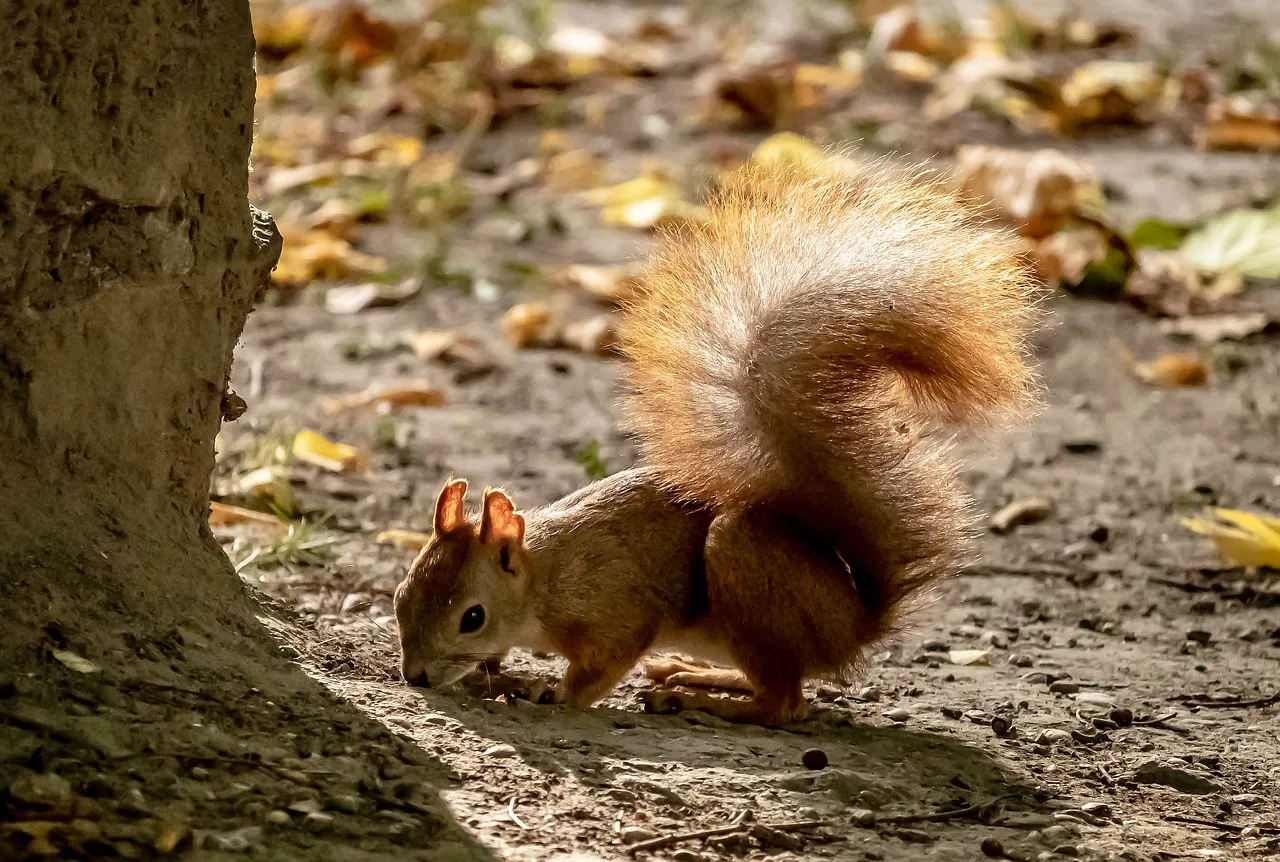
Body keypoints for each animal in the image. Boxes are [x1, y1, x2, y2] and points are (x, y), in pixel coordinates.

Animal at [394, 156, 1039, 726]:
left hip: (746, 576)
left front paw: (548, 690)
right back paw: (698, 675)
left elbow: (598, 669)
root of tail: (855, 625)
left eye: (472, 617)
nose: (415, 676)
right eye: (400, 594)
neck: (543, 575)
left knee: (785, 704)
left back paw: (701, 700)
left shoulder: (615, 607)